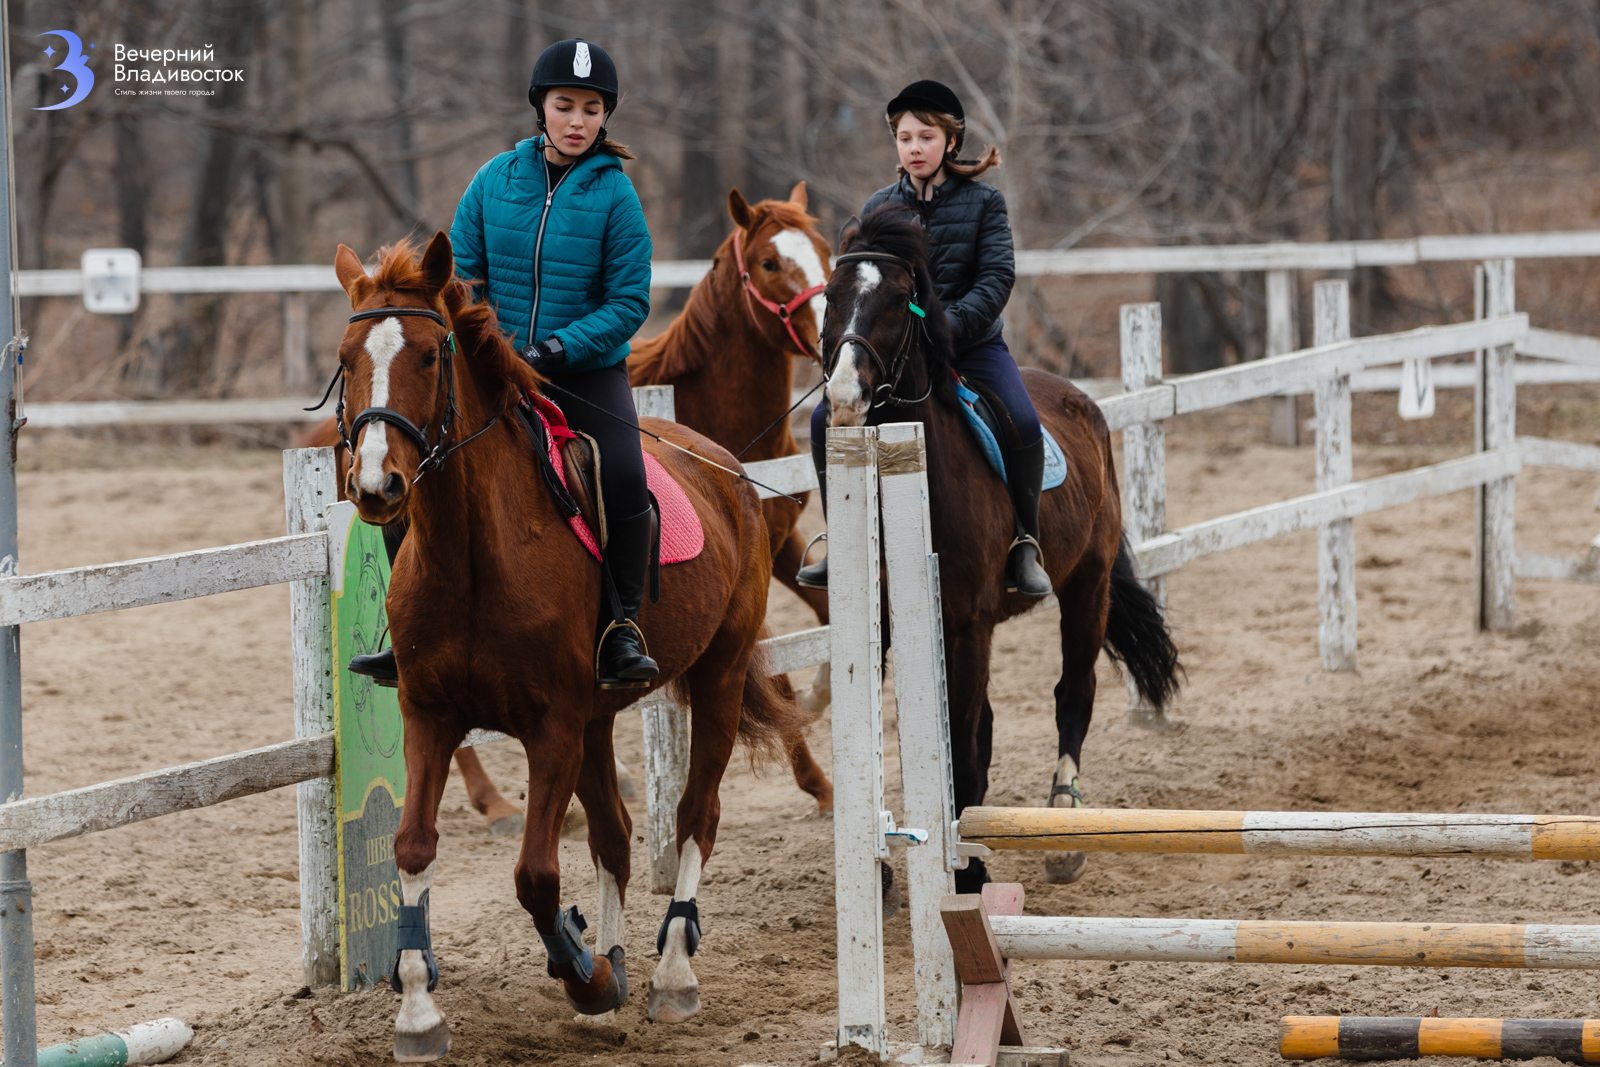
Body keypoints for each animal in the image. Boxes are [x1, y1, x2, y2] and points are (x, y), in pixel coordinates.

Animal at [332, 233, 800, 1062]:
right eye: (348, 357)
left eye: (428, 354)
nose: (379, 485)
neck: (473, 554)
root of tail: (728, 466)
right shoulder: (431, 715)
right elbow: (414, 845)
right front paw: (418, 1010)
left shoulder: (550, 725)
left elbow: (536, 875)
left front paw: (585, 973)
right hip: (599, 718)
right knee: (616, 836)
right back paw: (615, 957)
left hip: (716, 674)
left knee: (696, 814)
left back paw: (668, 972)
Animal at [624, 184, 838, 716]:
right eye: (768, 263)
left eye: (825, 251)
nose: (832, 336)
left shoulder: (776, 541)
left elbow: (827, 614)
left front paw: (817, 692)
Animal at [819, 207, 1184, 895]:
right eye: (830, 297)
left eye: (898, 299)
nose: (846, 396)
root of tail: (1082, 401)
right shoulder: (889, 632)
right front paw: (882, 871)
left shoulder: (967, 627)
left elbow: (962, 747)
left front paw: (969, 874)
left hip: (1088, 586)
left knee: (1073, 693)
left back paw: (1063, 823)